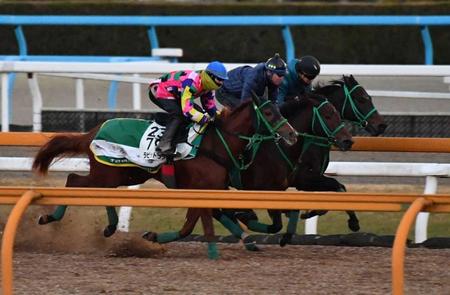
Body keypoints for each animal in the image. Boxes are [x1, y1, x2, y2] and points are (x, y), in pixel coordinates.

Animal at [33, 95, 298, 260]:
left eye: (279, 109)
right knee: (73, 181)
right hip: (107, 173)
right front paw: (155, 236)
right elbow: (191, 226)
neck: (214, 144)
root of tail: (92, 132)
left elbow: (200, 222)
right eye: (268, 112)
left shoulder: (210, 191)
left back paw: (109, 227)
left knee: (94, 189)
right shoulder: (200, 190)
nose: (292, 135)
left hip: (123, 174)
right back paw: (49, 217)